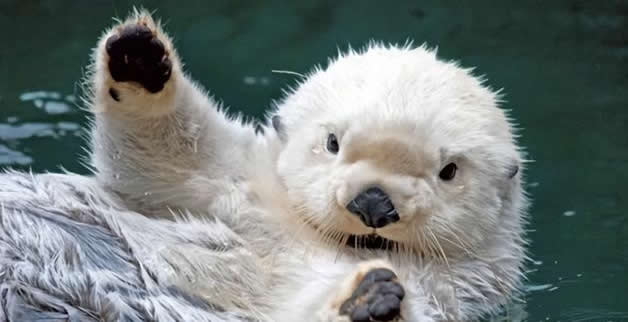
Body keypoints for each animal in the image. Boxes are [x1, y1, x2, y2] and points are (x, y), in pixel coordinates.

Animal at [88, 10, 528, 322]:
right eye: (333, 143)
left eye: (449, 171)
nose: (373, 204)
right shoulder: (243, 187)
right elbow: (169, 157)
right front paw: (139, 58)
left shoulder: (452, 290)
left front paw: (368, 298)